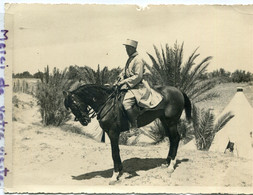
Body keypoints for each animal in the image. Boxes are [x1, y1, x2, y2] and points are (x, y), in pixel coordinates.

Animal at [63, 84, 192, 184]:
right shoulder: (111, 134)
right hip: (164, 121)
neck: (107, 103)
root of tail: (178, 90)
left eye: (75, 103)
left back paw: (171, 166)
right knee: (172, 139)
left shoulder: (113, 133)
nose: (85, 121)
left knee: (175, 138)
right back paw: (166, 162)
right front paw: (120, 171)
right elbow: (117, 151)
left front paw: (115, 176)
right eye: (70, 107)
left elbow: (114, 152)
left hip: (171, 122)